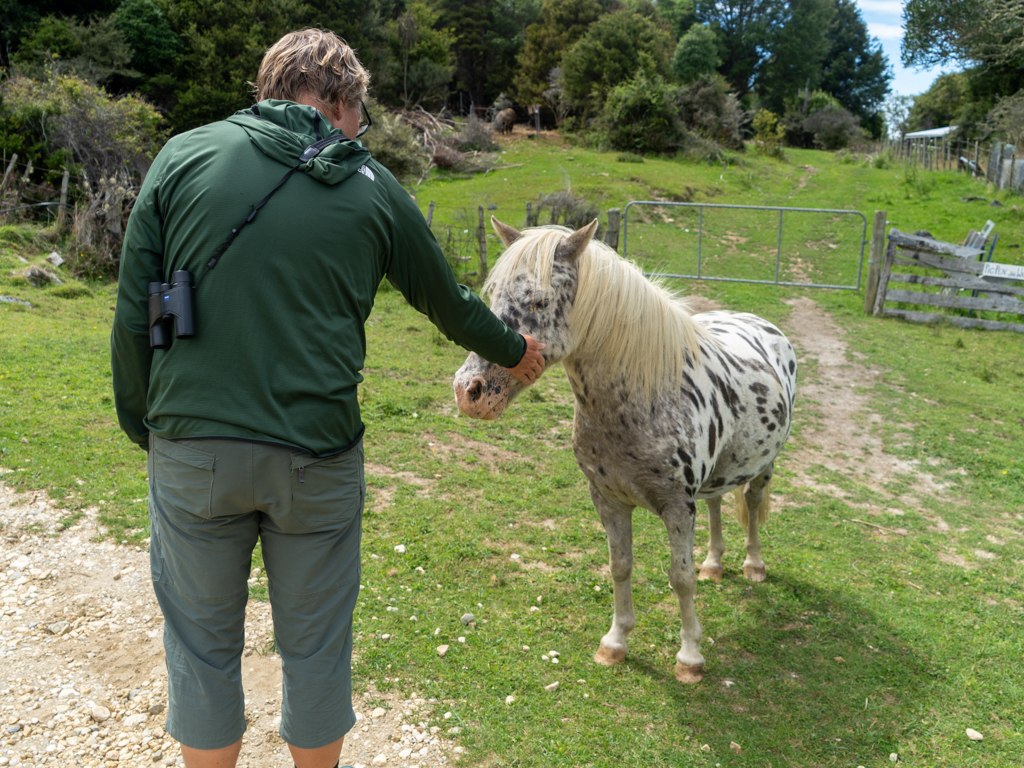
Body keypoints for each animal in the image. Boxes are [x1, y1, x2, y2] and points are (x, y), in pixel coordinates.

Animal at [453, 219, 798, 683]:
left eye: (540, 301)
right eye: (491, 297)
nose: (469, 391)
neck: (641, 400)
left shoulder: (677, 507)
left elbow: (680, 578)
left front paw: (690, 658)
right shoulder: (608, 500)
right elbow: (620, 566)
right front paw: (615, 643)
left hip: (764, 467)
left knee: (753, 503)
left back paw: (753, 566)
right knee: (717, 504)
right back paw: (714, 563)